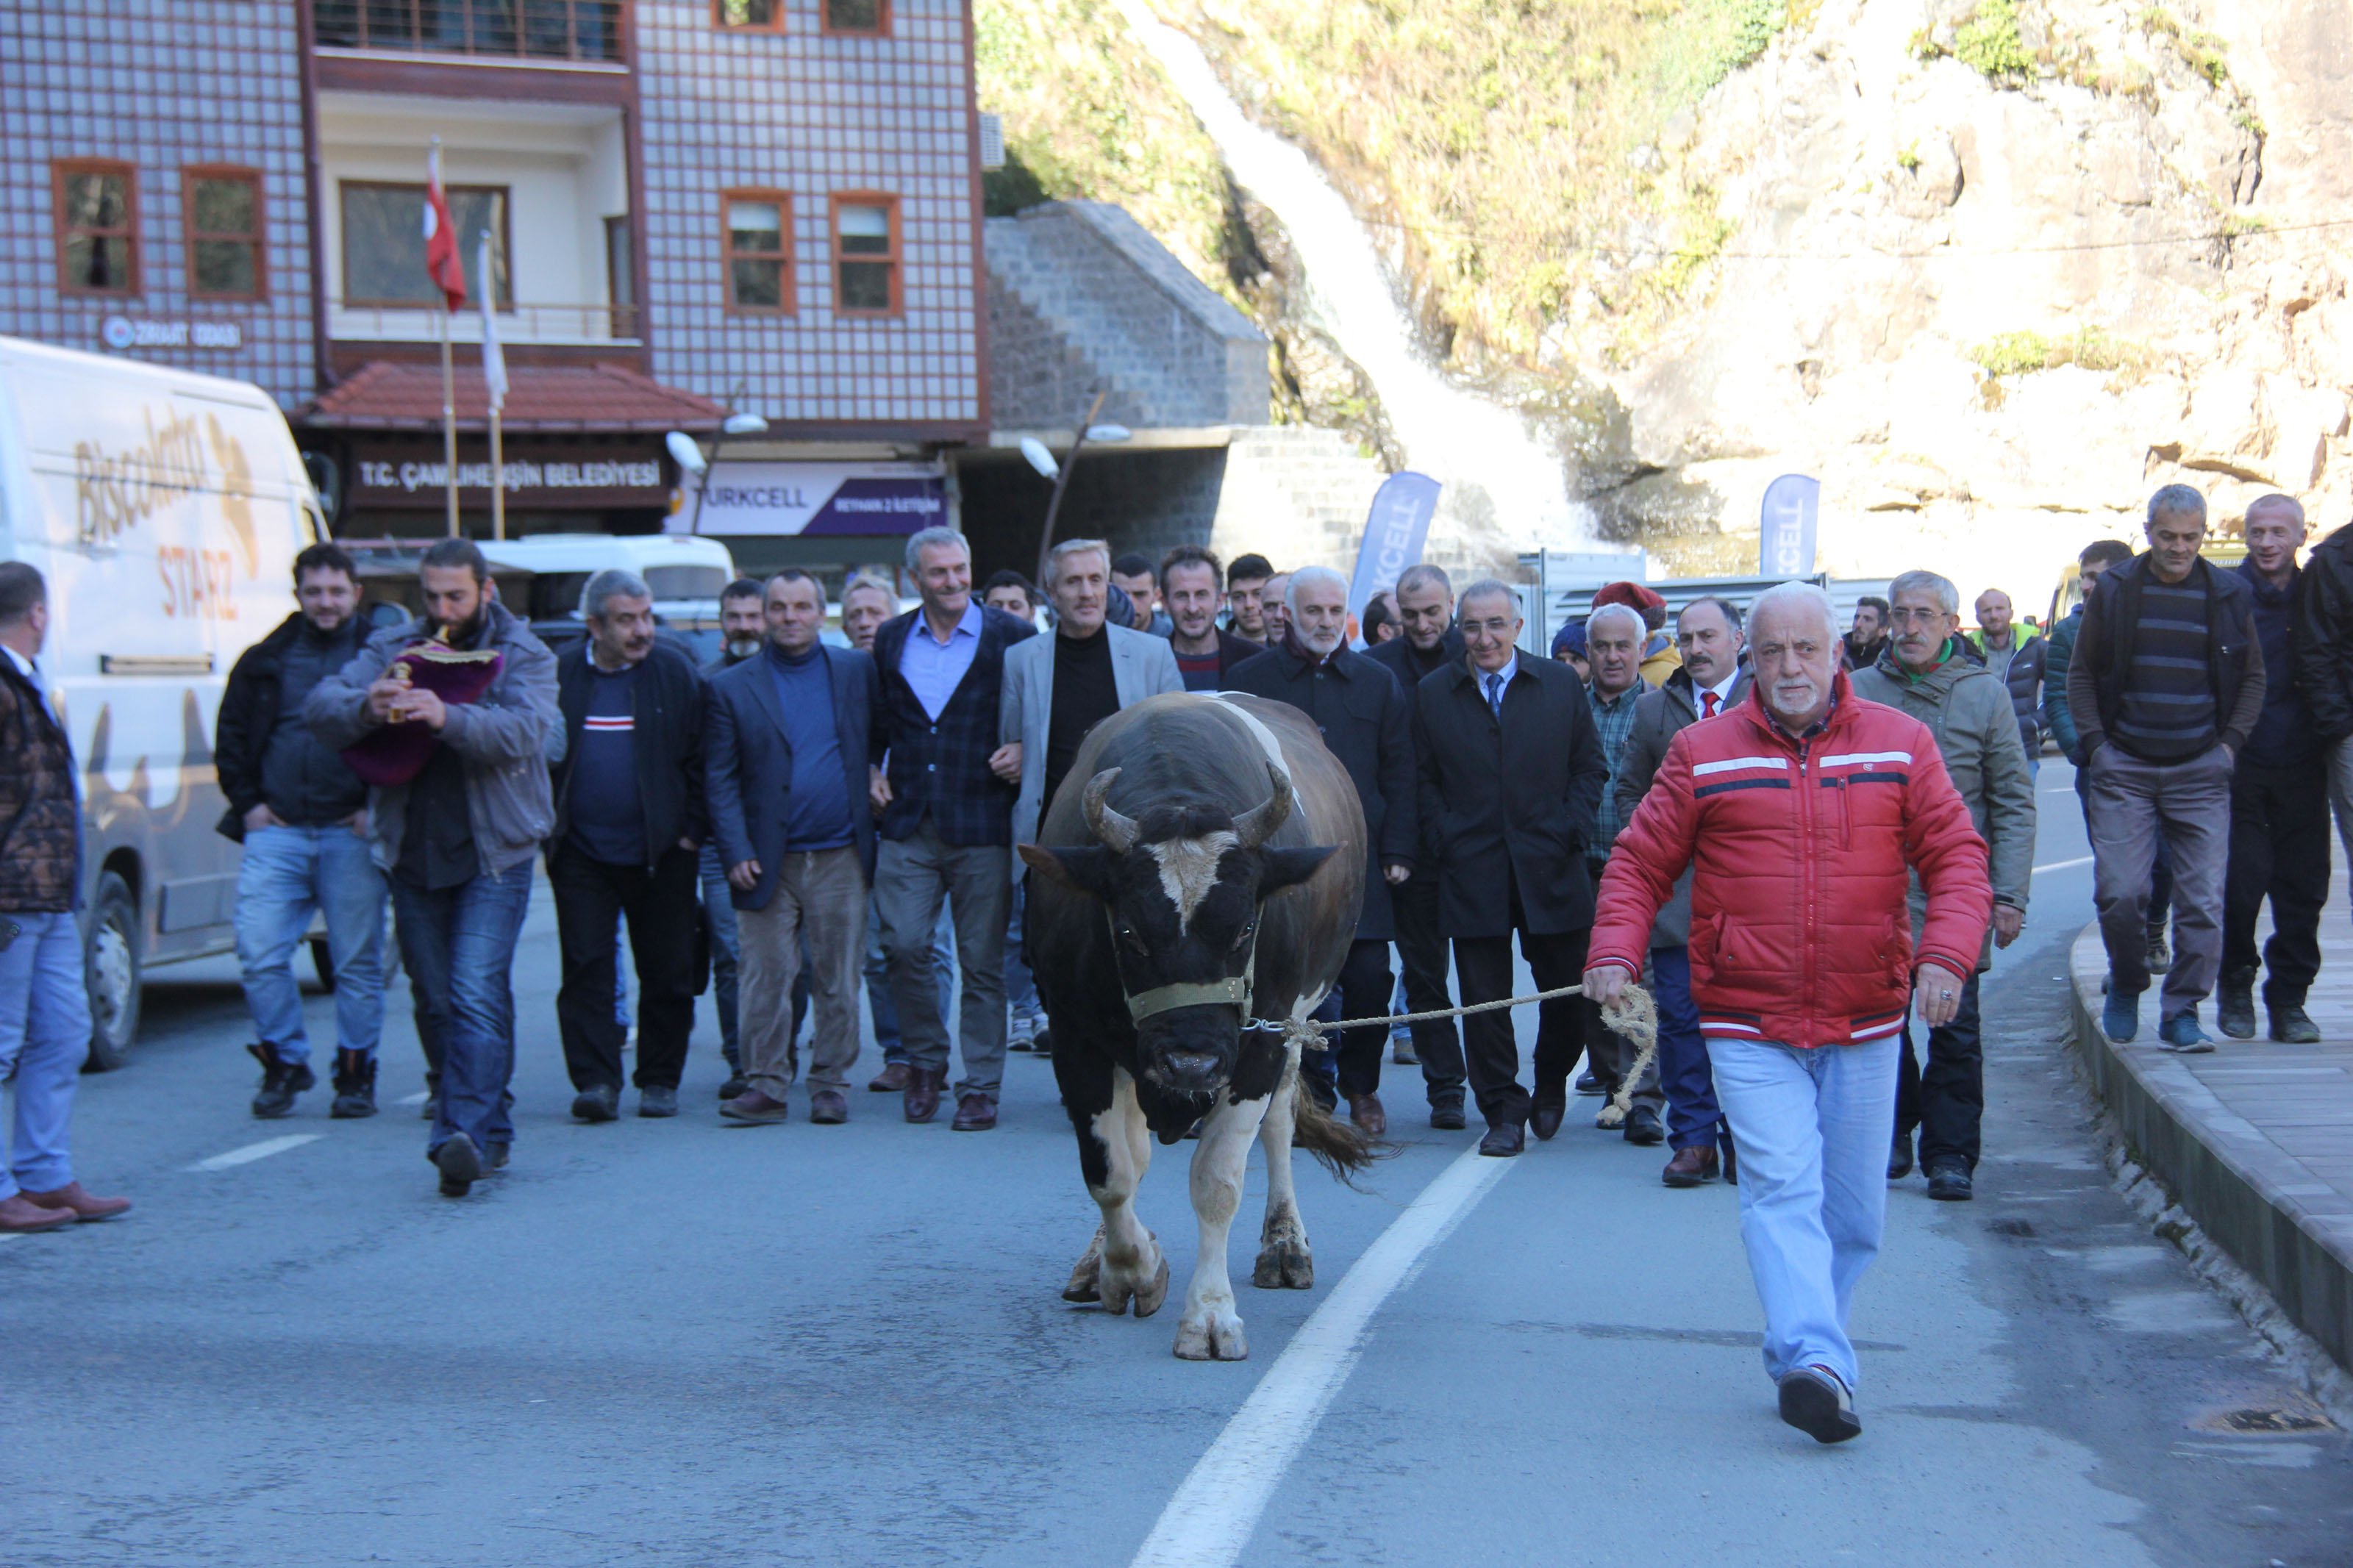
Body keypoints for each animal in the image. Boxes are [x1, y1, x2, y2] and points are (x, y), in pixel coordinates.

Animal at [1016, 691, 1374, 1363]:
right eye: (1128, 930)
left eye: (1245, 928)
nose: (1191, 1063)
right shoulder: (1076, 1038)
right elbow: (1110, 1173)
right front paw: (1130, 1267)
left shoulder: (1258, 1044)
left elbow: (1216, 1181)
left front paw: (1209, 1315)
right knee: (1132, 1150)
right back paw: (1097, 1259)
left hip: (1294, 1024)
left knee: (1280, 1126)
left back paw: (1284, 1245)